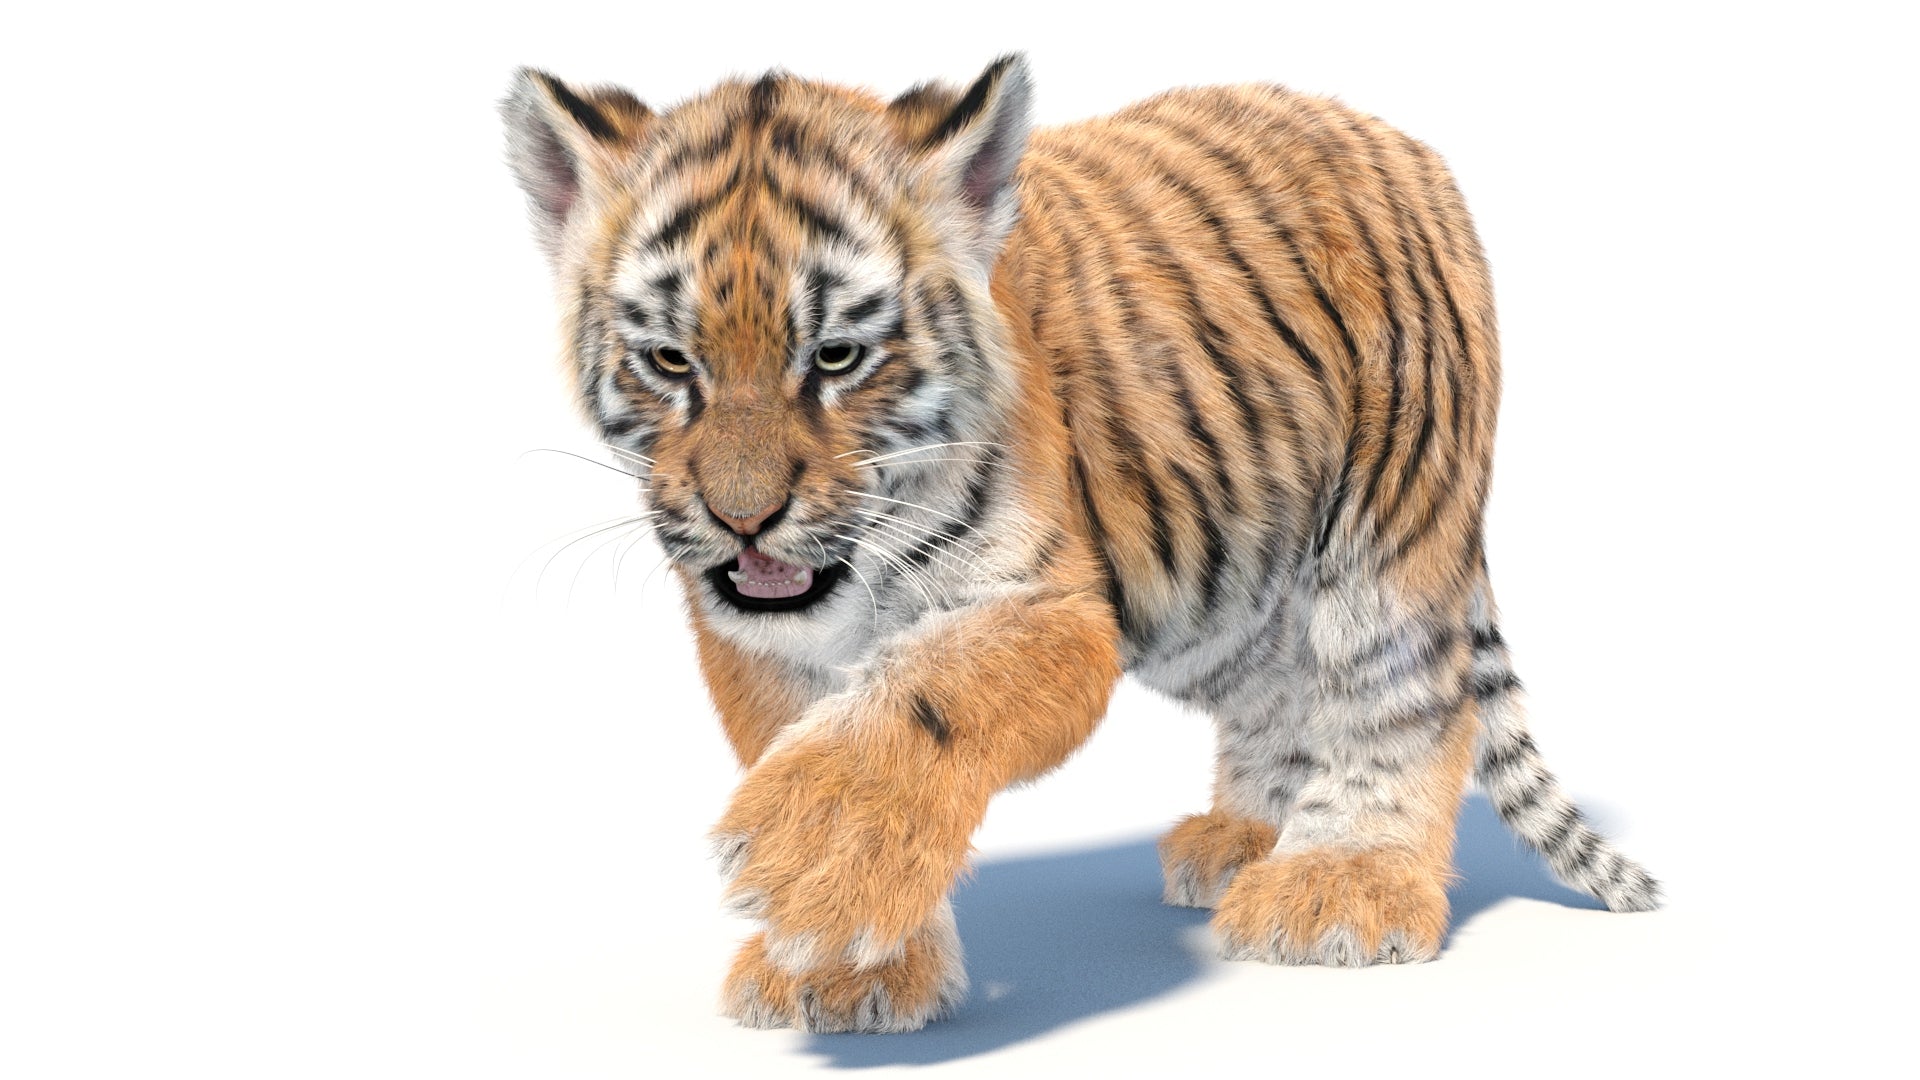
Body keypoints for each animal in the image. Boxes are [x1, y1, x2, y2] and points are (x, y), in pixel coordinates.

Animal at [501, 54, 1659, 1034]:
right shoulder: (756, 641)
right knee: (1283, 687)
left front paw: (818, 854)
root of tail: (1385, 132)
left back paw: (1342, 884)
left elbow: (926, 696)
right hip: (1223, 584)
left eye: (835, 357)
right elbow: (805, 728)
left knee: (1403, 696)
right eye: (668, 361)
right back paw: (1246, 841)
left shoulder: (1047, 603)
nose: (744, 518)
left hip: (1389, 515)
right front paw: (846, 957)